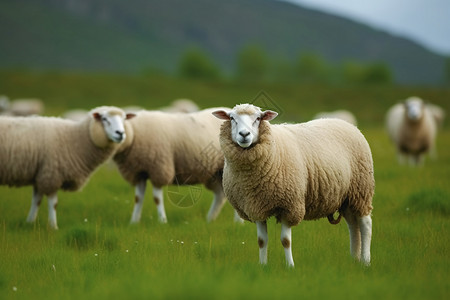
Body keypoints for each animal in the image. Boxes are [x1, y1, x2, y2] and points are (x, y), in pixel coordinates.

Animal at [0, 106, 135, 229]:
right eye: (104, 118)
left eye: (124, 119)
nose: (120, 133)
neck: (74, 138)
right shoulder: (51, 174)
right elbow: (53, 203)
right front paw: (53, 226)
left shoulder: (40, 173)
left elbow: (36, 200)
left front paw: (30, 222)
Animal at [111, 108, 243, 225]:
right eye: (105, 119)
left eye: (123, 119)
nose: (119, 133)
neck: (134, 132)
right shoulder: (139, 173)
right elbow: (138, 198)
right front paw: (134, 222)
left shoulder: (159, 168)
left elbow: (157, 198)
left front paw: (162, 221)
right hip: (216, 173)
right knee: (220, 195)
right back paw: (210, 219)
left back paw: (238, 223)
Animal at [213, 103, 374, 268]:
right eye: (232, 118)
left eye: (258, 118)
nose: (244, 134)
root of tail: (348, 124)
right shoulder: (257, 207)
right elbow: (261, 241)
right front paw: (263, 266)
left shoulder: (289, 206)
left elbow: (285, 241)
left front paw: (290, 266)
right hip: (347, 197)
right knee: (353, 225)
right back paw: (354, 258)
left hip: (361, 188)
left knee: (365, 224)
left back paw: (366, 260)